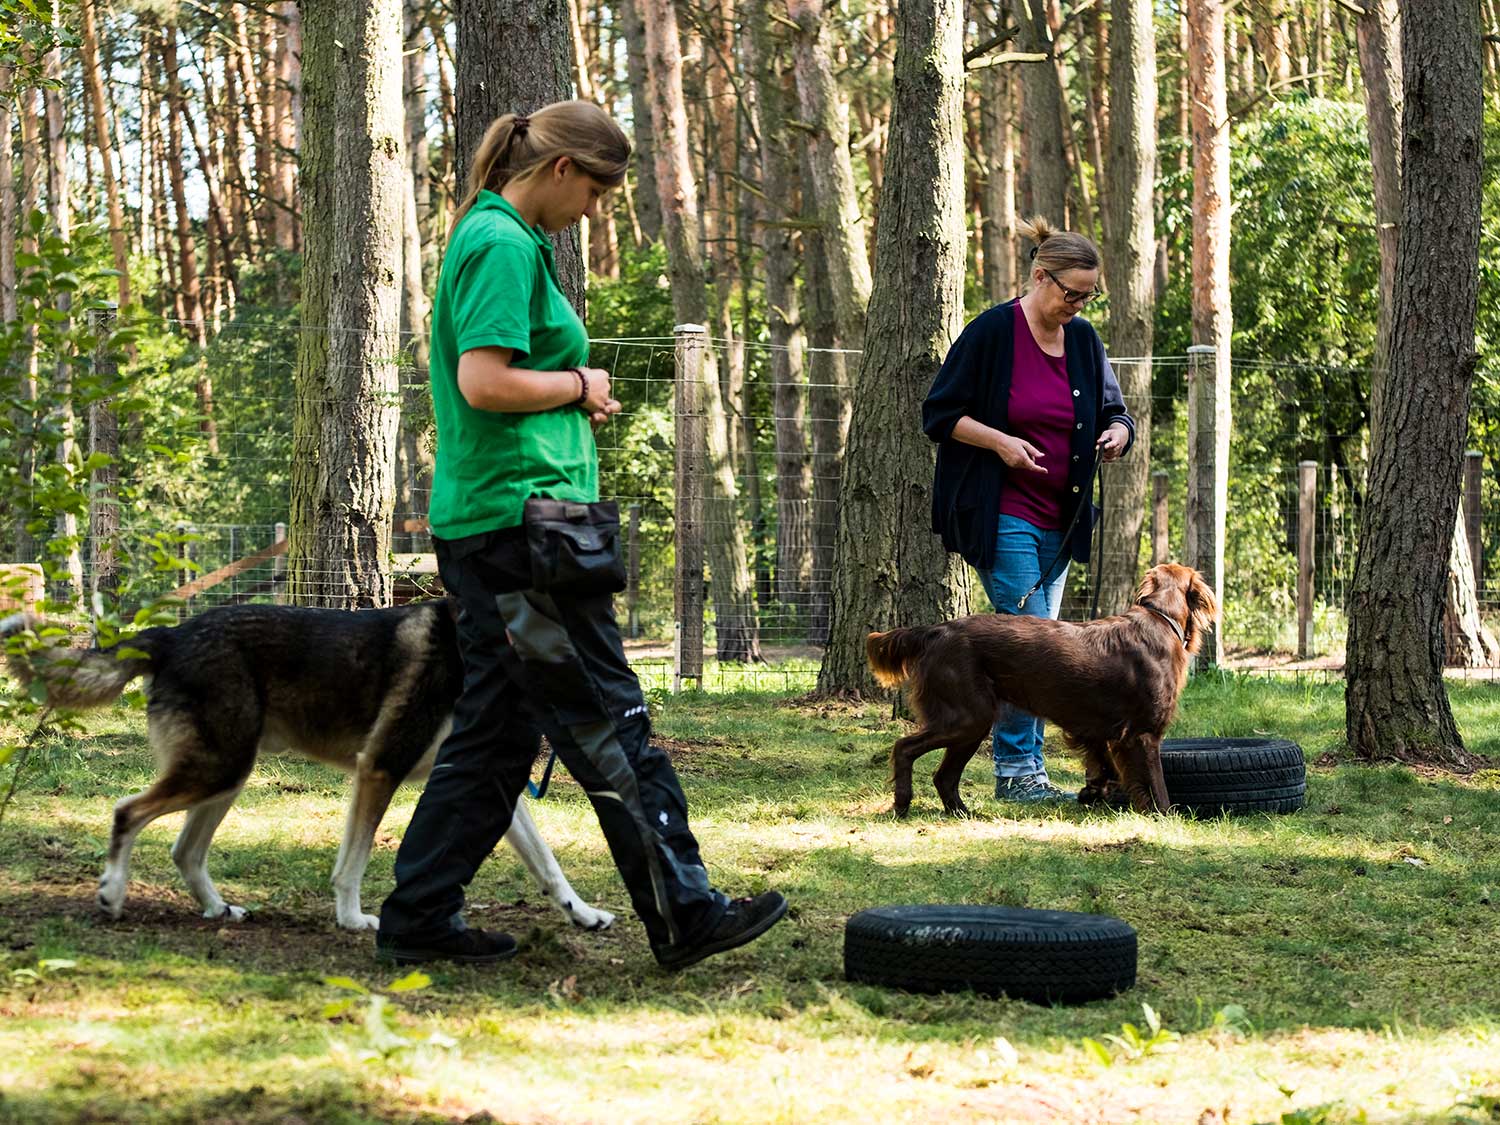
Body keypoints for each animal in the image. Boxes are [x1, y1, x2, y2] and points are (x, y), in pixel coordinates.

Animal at [2, 603, 615, 936]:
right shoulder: (379, 770)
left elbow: (549, 866)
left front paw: (583, 916)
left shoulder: (485, 787)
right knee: (127, 812)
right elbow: (354, 865)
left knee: (184, 850)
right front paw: (352, 920)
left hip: (228, 776)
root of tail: (171, 635)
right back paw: (111, 893)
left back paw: (218, 909)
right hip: (217, 770)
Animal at [870, 564, 1218, 822]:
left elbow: (1103, 763)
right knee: (904, 748)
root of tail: (935, 631)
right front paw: (1166, 817)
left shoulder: (1099, 730)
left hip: (972, 724)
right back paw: (902, 804)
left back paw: (963, 813)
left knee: (944, 776)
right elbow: (1156, 785)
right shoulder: (1143, 733)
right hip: (968, 717)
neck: (1161, 618)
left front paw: (1092, 792)